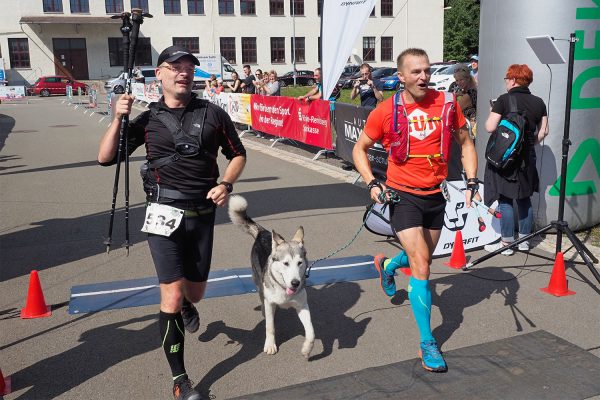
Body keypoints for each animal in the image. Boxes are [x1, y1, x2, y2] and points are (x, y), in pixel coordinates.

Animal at [229, 195, 316, 358]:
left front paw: (307, 348)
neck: (284, 290)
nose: (295, 283)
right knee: (263, 299)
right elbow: (270, 327)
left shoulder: (302, 306)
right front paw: (270, 345)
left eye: (299, 263)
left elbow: (311, 332)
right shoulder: (270, 303)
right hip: (258, 282)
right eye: (286, 263)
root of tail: (263, 232)